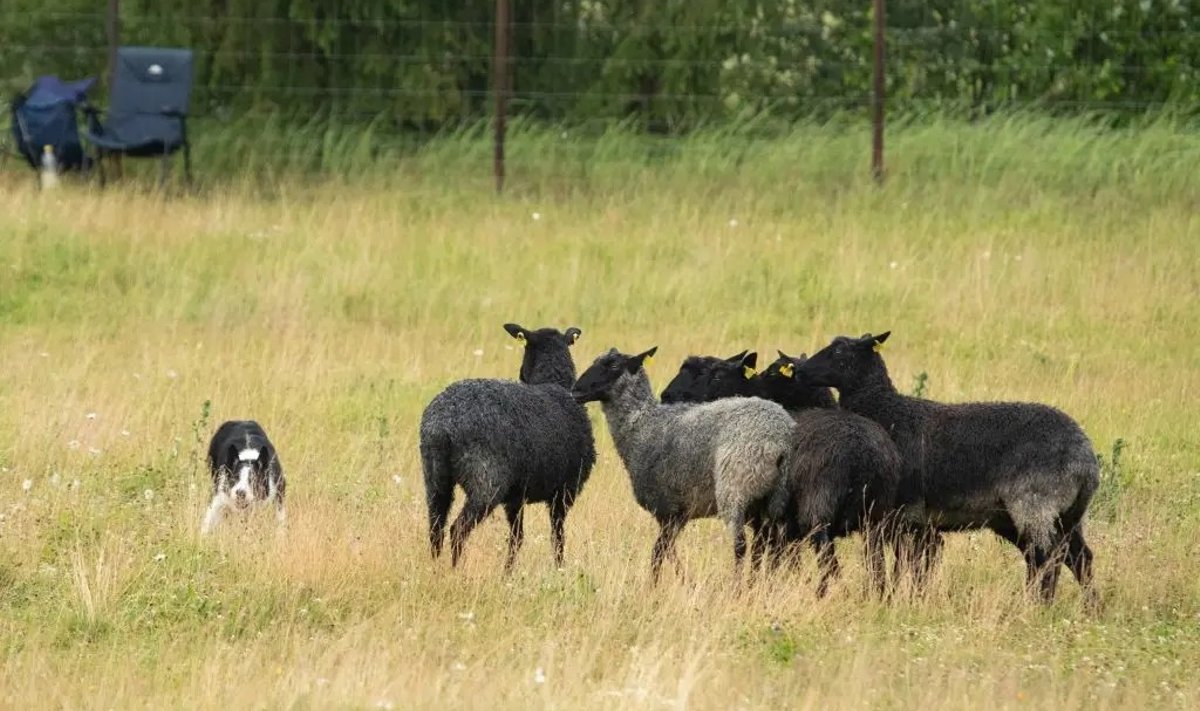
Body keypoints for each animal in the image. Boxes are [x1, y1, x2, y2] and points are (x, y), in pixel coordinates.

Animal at [417, 324, 595, 569]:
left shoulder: (516, 496)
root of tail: (444, 425)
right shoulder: (564, 491)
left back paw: (434, 570)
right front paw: (559, 568)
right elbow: (557, 538)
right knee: (458, 529)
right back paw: (455, 571)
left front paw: (507, 572)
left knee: (436, 529)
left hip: (435, 477)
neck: (553, 383)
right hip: (486, 480)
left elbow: (517, 538)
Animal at [571, 345, 796, 583]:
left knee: (741, 546)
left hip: (736, 490)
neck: (642, 425)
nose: (575, 390)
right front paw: (683, 579)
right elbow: (667, 549)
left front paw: (656, 584)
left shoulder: (668, 509)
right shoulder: (680, 513)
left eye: (613, 366)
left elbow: (659, 551)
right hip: (772, 500)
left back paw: (737, 587)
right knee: (767, 546)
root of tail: (780, 439)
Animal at [662, 353, 902, 598]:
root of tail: (864, 457)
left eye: (717, 375)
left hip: (818, 513)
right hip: (876, 518)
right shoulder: (780, 526)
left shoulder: (768, 520)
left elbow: (764, 558)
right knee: (876, 565)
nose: (668, 396)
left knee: (830, 562)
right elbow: (775, 559)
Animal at [801, 331, 1099, 605]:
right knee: (1077, 557)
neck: (887, 412)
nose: (802, 369)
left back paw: (1039, 607)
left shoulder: (903, 513)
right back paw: (1088, 609)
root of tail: (1087, 460)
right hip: (1065, 515)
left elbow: (902, 563)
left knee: (1048, 557)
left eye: (839, 351)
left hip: (1035, 505)